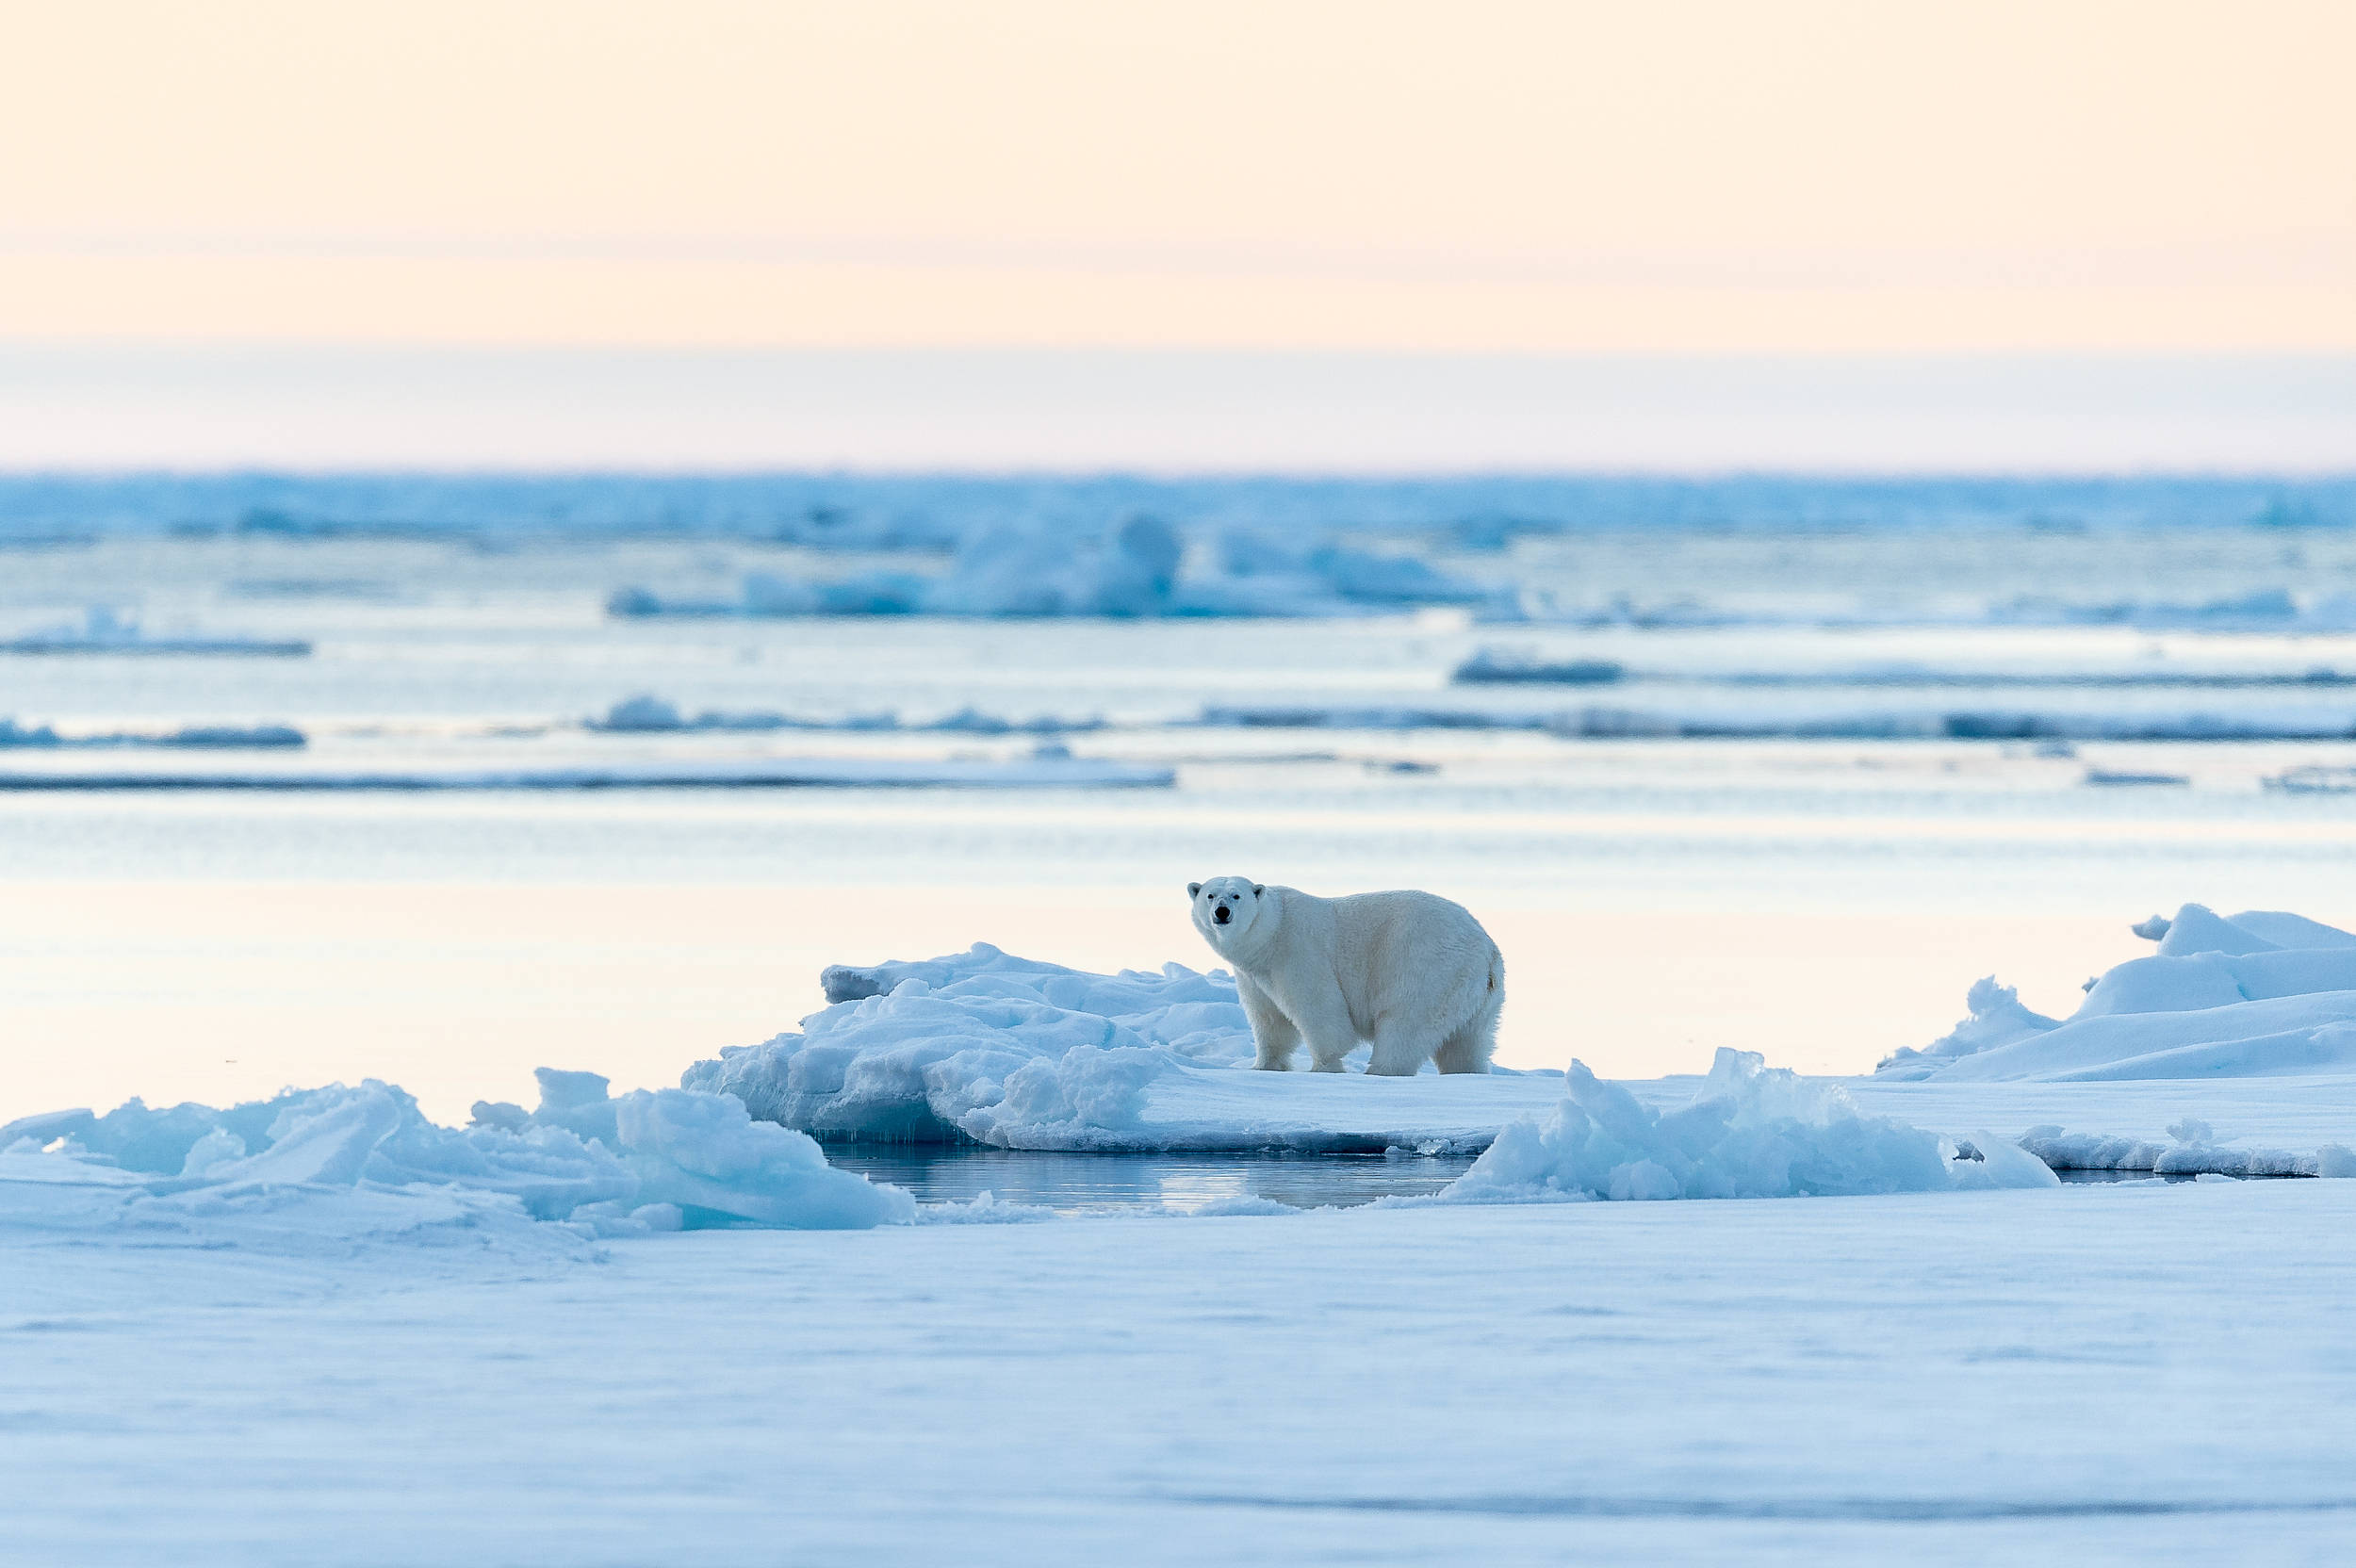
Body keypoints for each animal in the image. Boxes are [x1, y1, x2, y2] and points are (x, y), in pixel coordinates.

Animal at [1187, 871, 1498, 1069]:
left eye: (1236, 895)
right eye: (1210, 895)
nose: (1222, 912)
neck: (1270, 932)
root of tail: (1486, 949)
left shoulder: (1297, 951)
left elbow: (1319, 1010)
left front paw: (1324, 1066)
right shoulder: (1254, 976)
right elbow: (1270, 1020)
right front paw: (1263, 1065)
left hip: (1426, 970)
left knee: (1404, 1028)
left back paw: (1380, 1070)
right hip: (1475, 997)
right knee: (1466, 1046)